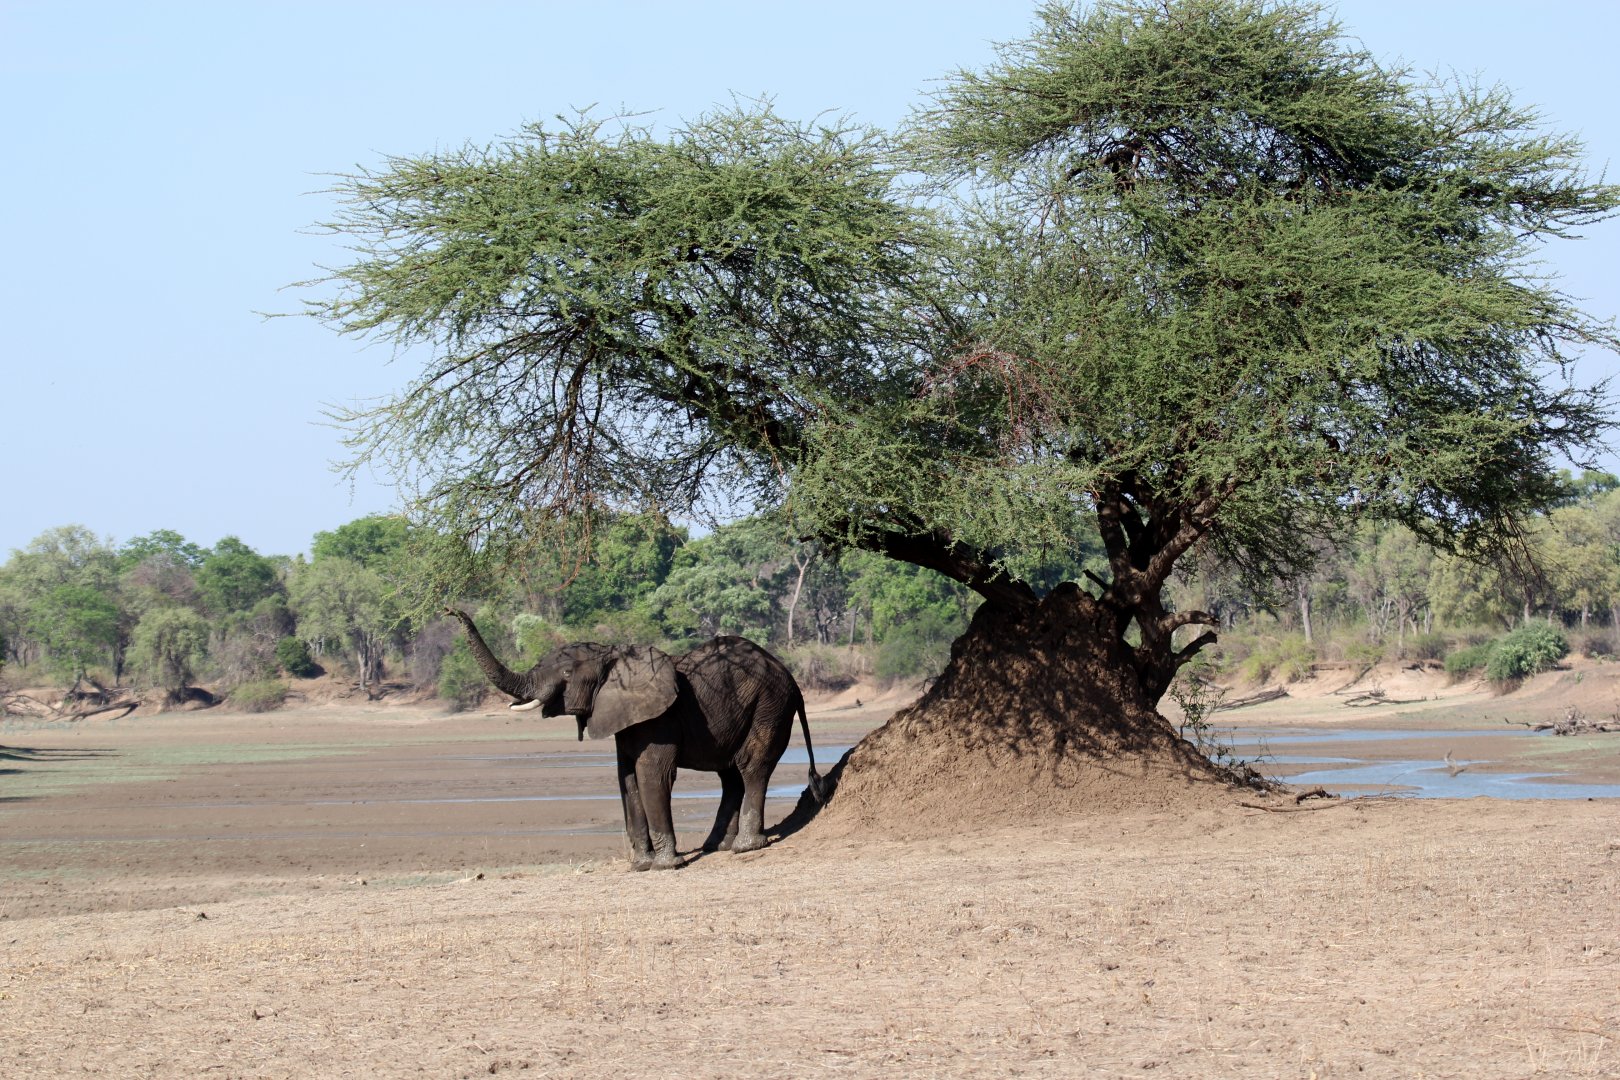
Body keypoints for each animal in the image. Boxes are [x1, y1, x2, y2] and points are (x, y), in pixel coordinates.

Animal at [447, 610, 828, 870]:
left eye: (567, 673)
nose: (451, 611)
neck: (614, 658)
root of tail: (792, 680)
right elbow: (626, 780)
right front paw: (641, 866)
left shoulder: (658, 719)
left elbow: (650, 776)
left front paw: (666, 866)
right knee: (729, 774)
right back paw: (714, 847)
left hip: (770, 704)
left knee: (751, 766)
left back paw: (745, 847)